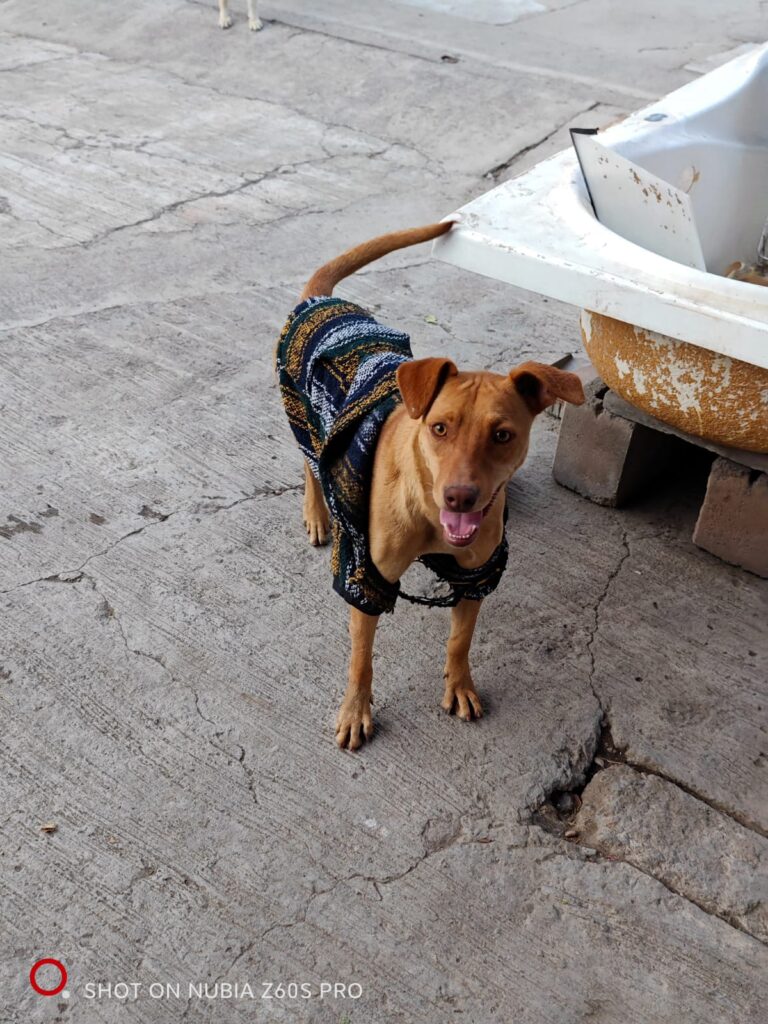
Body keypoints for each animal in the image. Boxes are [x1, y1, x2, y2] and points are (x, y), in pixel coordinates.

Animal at [276, 221, 585, 749]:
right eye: (439, 428)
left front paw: (459, 685)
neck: (426, 509)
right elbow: (361, 659)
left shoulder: (477, 576)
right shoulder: (366, 576)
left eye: (502, 435)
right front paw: (355, 710)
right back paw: (318, 515)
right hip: (303, 418)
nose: (460, 496)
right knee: (310, 467)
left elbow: (460, 639)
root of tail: (323, 300)